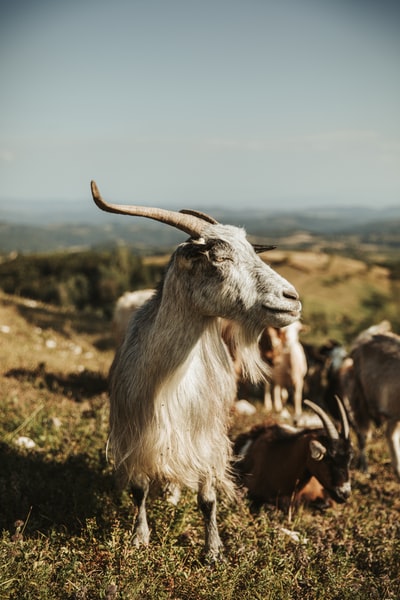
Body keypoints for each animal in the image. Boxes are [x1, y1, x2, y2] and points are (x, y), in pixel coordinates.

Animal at [91, 180, 304, 560]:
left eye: (251, 250)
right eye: (218, 256)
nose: (291, 298)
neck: (169, 379)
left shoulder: (205, 437)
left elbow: (207, 498)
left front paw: (214, 550)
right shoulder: (137, 432)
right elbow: (139, 488)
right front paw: (140, 537)